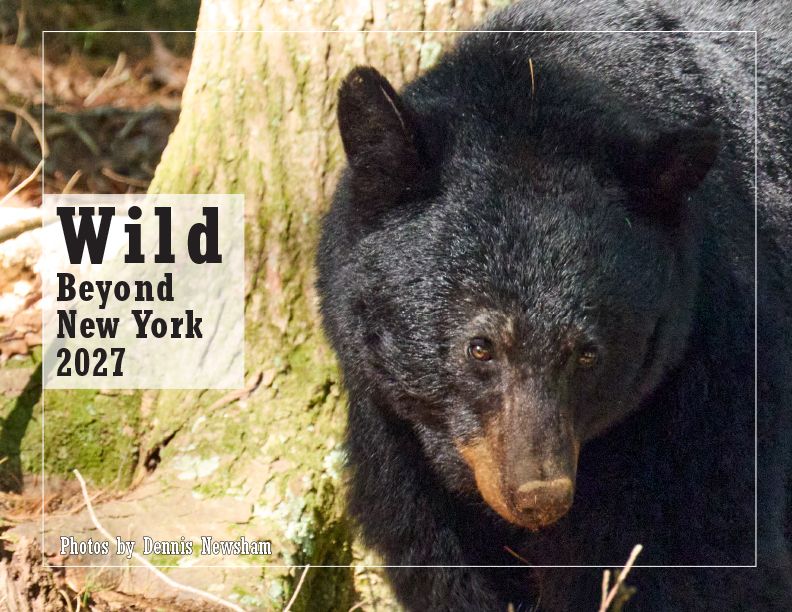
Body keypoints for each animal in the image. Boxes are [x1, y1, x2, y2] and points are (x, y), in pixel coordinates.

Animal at [316, 1, 791, 610]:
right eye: (479, 347)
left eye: (589, 354)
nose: (539, 496)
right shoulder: (397, 438)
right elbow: (437, 559)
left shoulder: (718, 358)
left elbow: (706, 547)